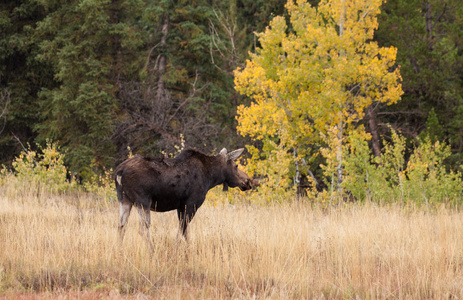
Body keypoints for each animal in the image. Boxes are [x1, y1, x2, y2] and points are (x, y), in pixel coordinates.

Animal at [115, 147, 254, 248]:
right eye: (236, 166)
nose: (248, 181)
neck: (211, 177)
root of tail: (119, 172)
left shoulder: (180, 206)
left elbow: (184, 231)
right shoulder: (192, 203)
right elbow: (182, 229)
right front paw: (179, 250)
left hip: (124, 200)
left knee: (121, 226)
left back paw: (120, 251)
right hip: (143, 201)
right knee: (143, 229)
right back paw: (151, 251)